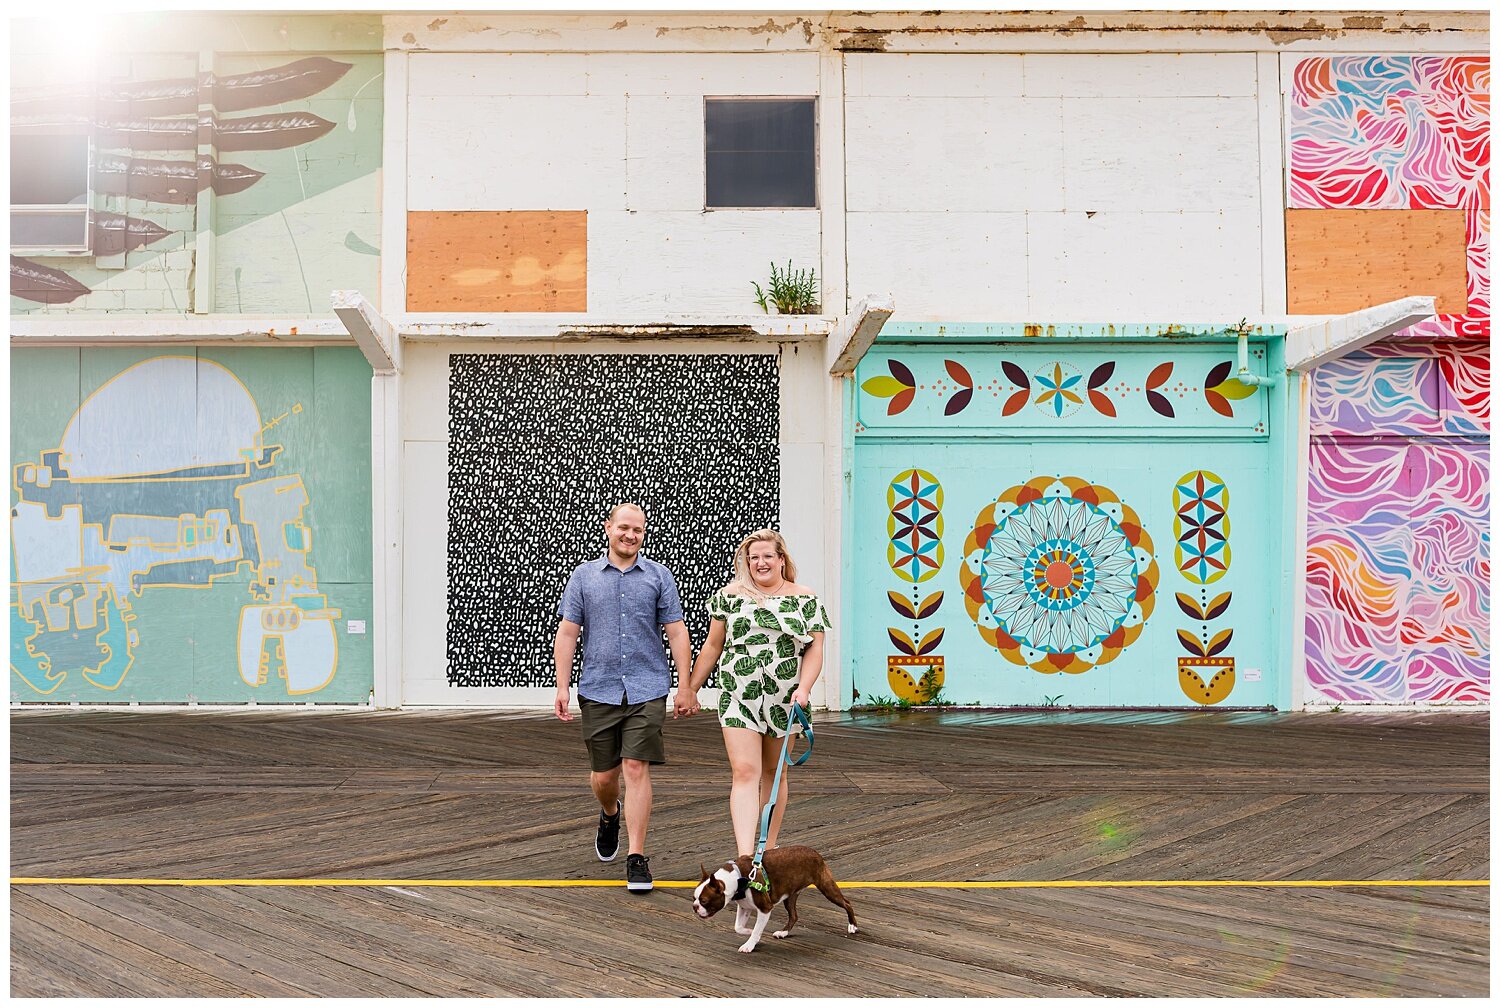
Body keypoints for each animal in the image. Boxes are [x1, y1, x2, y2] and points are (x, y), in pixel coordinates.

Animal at [687, 840, 858, 954]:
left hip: (827, 887)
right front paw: (749, 931)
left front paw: (750, 942)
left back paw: (852, 926)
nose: (694, 907)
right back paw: (783, 932)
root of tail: (815, 852)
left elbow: (757, 928)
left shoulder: (765, 908)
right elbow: (738, 927)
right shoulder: (744, 907)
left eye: (704, 901)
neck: (738, 878)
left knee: (847, 903)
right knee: (794, 915)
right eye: (694, 899)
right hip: (790, 896)